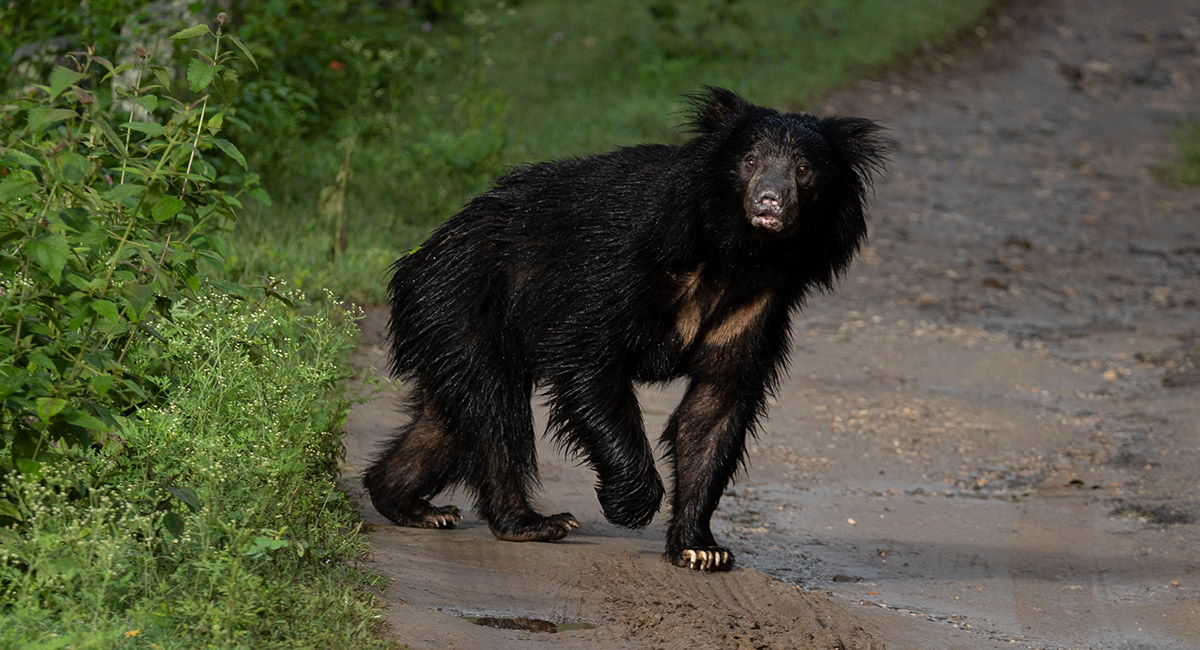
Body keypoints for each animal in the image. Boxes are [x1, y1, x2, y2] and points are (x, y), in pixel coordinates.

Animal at [364, 87, 888, 571]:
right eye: (751, 160)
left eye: (803, 169)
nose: (769, 202)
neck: (739, 252)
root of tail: (421, 254)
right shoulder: (626, 265)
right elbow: (590, 361)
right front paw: (629, 505)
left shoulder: (758, 303)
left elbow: (715, 406)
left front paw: (702, 549)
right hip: (465, 302)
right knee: (493, 409)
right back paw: (532, 522)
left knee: (449, 419)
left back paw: (408, 503)